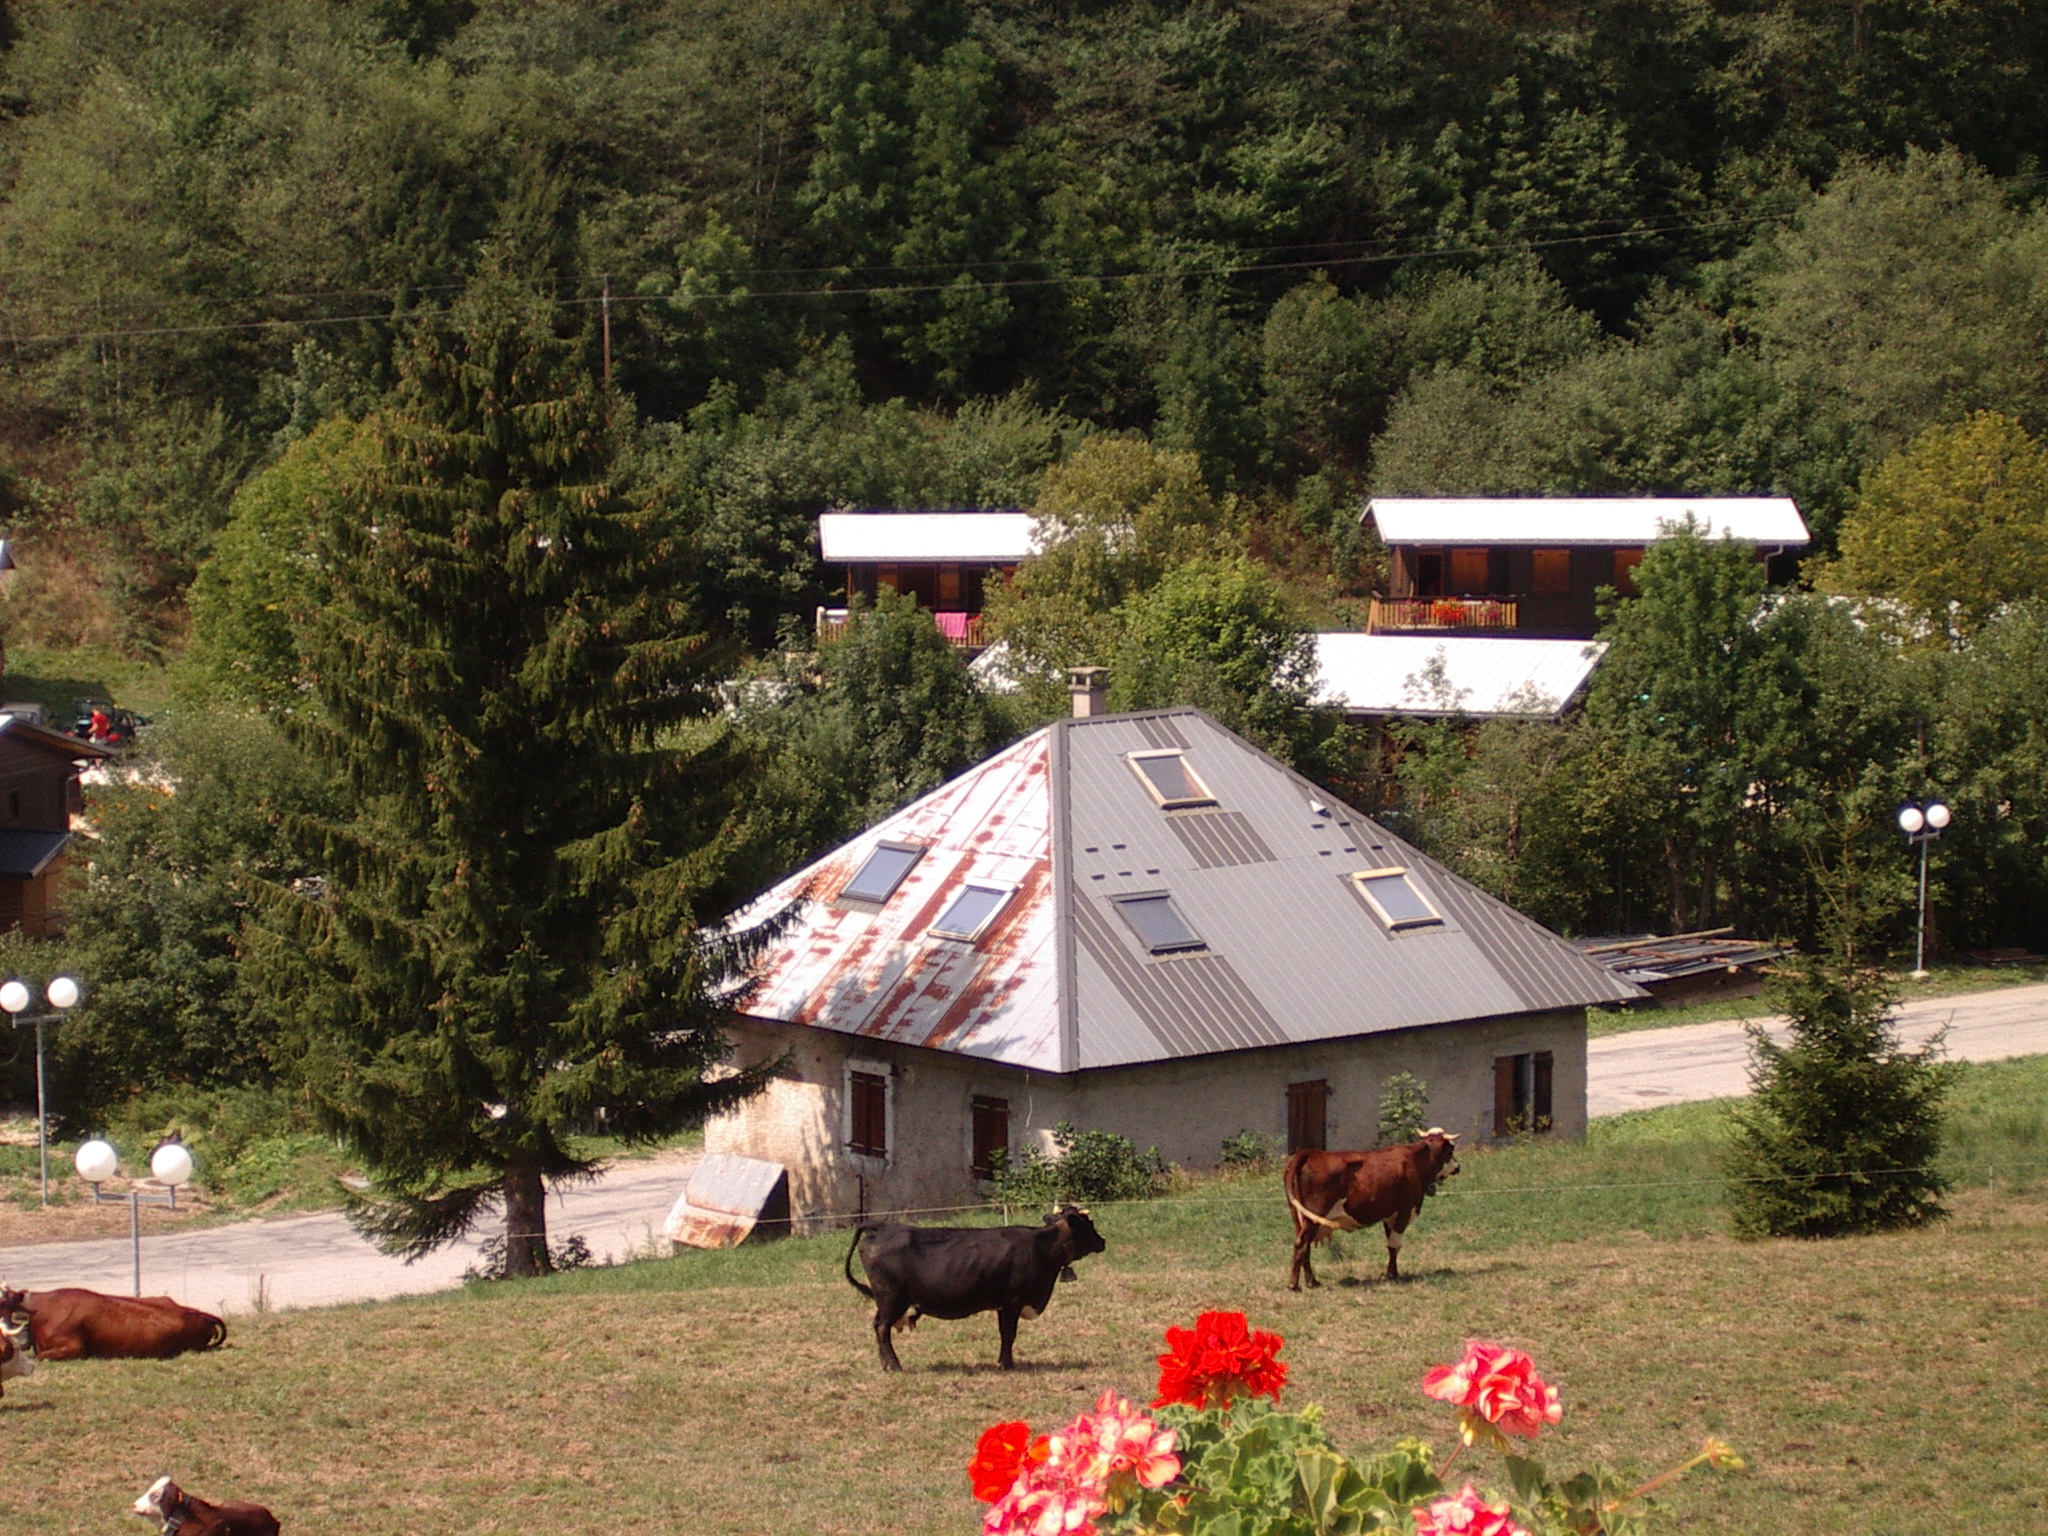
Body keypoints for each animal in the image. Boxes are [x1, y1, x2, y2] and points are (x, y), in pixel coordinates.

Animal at [843, 1212, 1114, 1376]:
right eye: (1089, 1225)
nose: (1103, 1241)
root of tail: (882, 1226)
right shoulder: (1013, 1301)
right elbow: (1009, 1334)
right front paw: (1007, 1364)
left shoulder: (1003, 1304)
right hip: (892, 1299)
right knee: (882, 1328)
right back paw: (895, 1365)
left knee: (878, 1327)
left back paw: (886, 1364)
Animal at [1277, 1122, 1458, 1294]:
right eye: (1450, 1151)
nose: (1458, 1167)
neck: (1415, 1161)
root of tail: (1311, 1153)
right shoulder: (1404, 1211)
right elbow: (1395, 1244)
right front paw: (1392, 1275)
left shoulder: (1389, 1215)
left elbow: (1391, 1246)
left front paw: (1392, 1273)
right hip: (1313, 1216)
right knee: (1301, 1244)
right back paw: (1294, 1285)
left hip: (1300, 1217)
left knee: (1305, 1246)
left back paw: (1312, 1282)